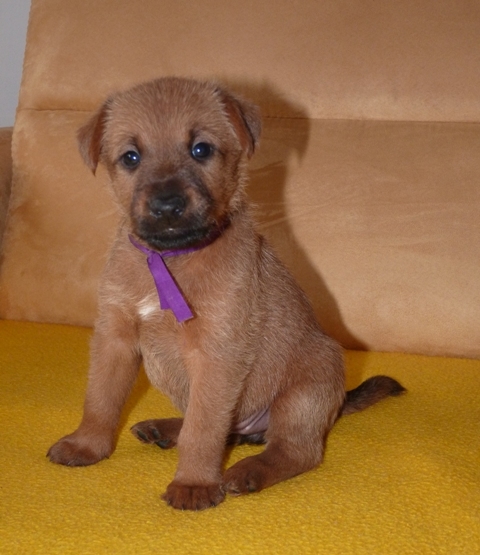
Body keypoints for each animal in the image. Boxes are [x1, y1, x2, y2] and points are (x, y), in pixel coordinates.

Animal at [47, 77, 405, 510]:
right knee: (225, 430)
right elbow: (100, 399)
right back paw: (166, 428)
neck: (172, 259)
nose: (167, 205)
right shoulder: (115, 338)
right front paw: (86, 446)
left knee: (297, 451)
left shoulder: (216, 354)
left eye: (201, 149)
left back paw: (248, 471)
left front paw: (194, 484)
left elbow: (202, 432)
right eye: (131, 157)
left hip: (303, 393)